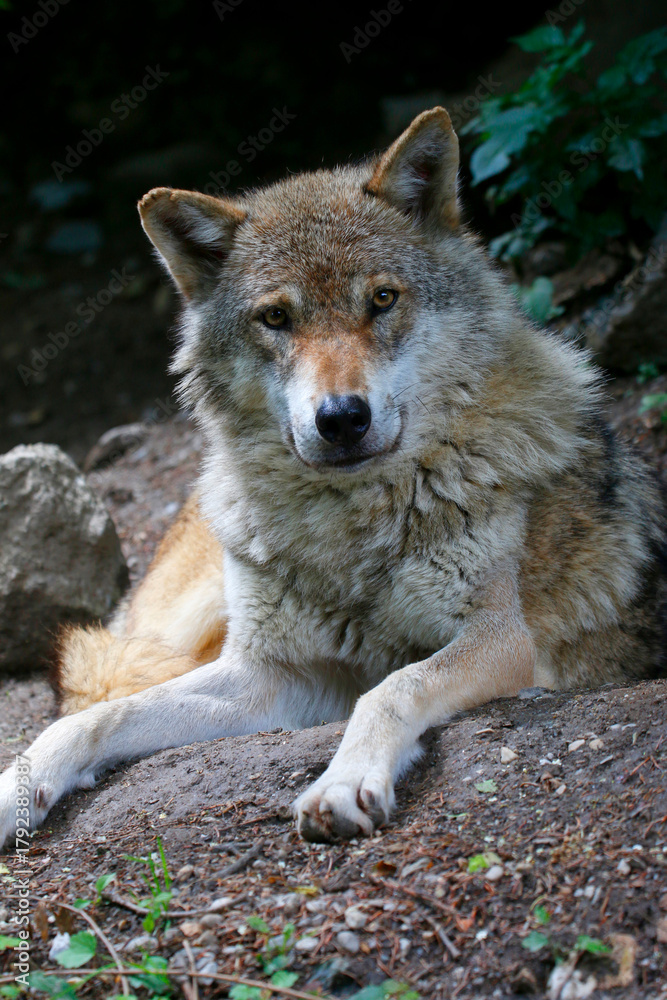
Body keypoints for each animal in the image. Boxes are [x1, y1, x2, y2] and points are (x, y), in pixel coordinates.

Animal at [1, 108, 665, 848]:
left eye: (381, 299)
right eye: (275, 317)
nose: (341, 418)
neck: (350, 530)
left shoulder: (500, 641)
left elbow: (394, 686)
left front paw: (343, 785)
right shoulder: (270, 674)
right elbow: (95, 718)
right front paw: (16, 788)